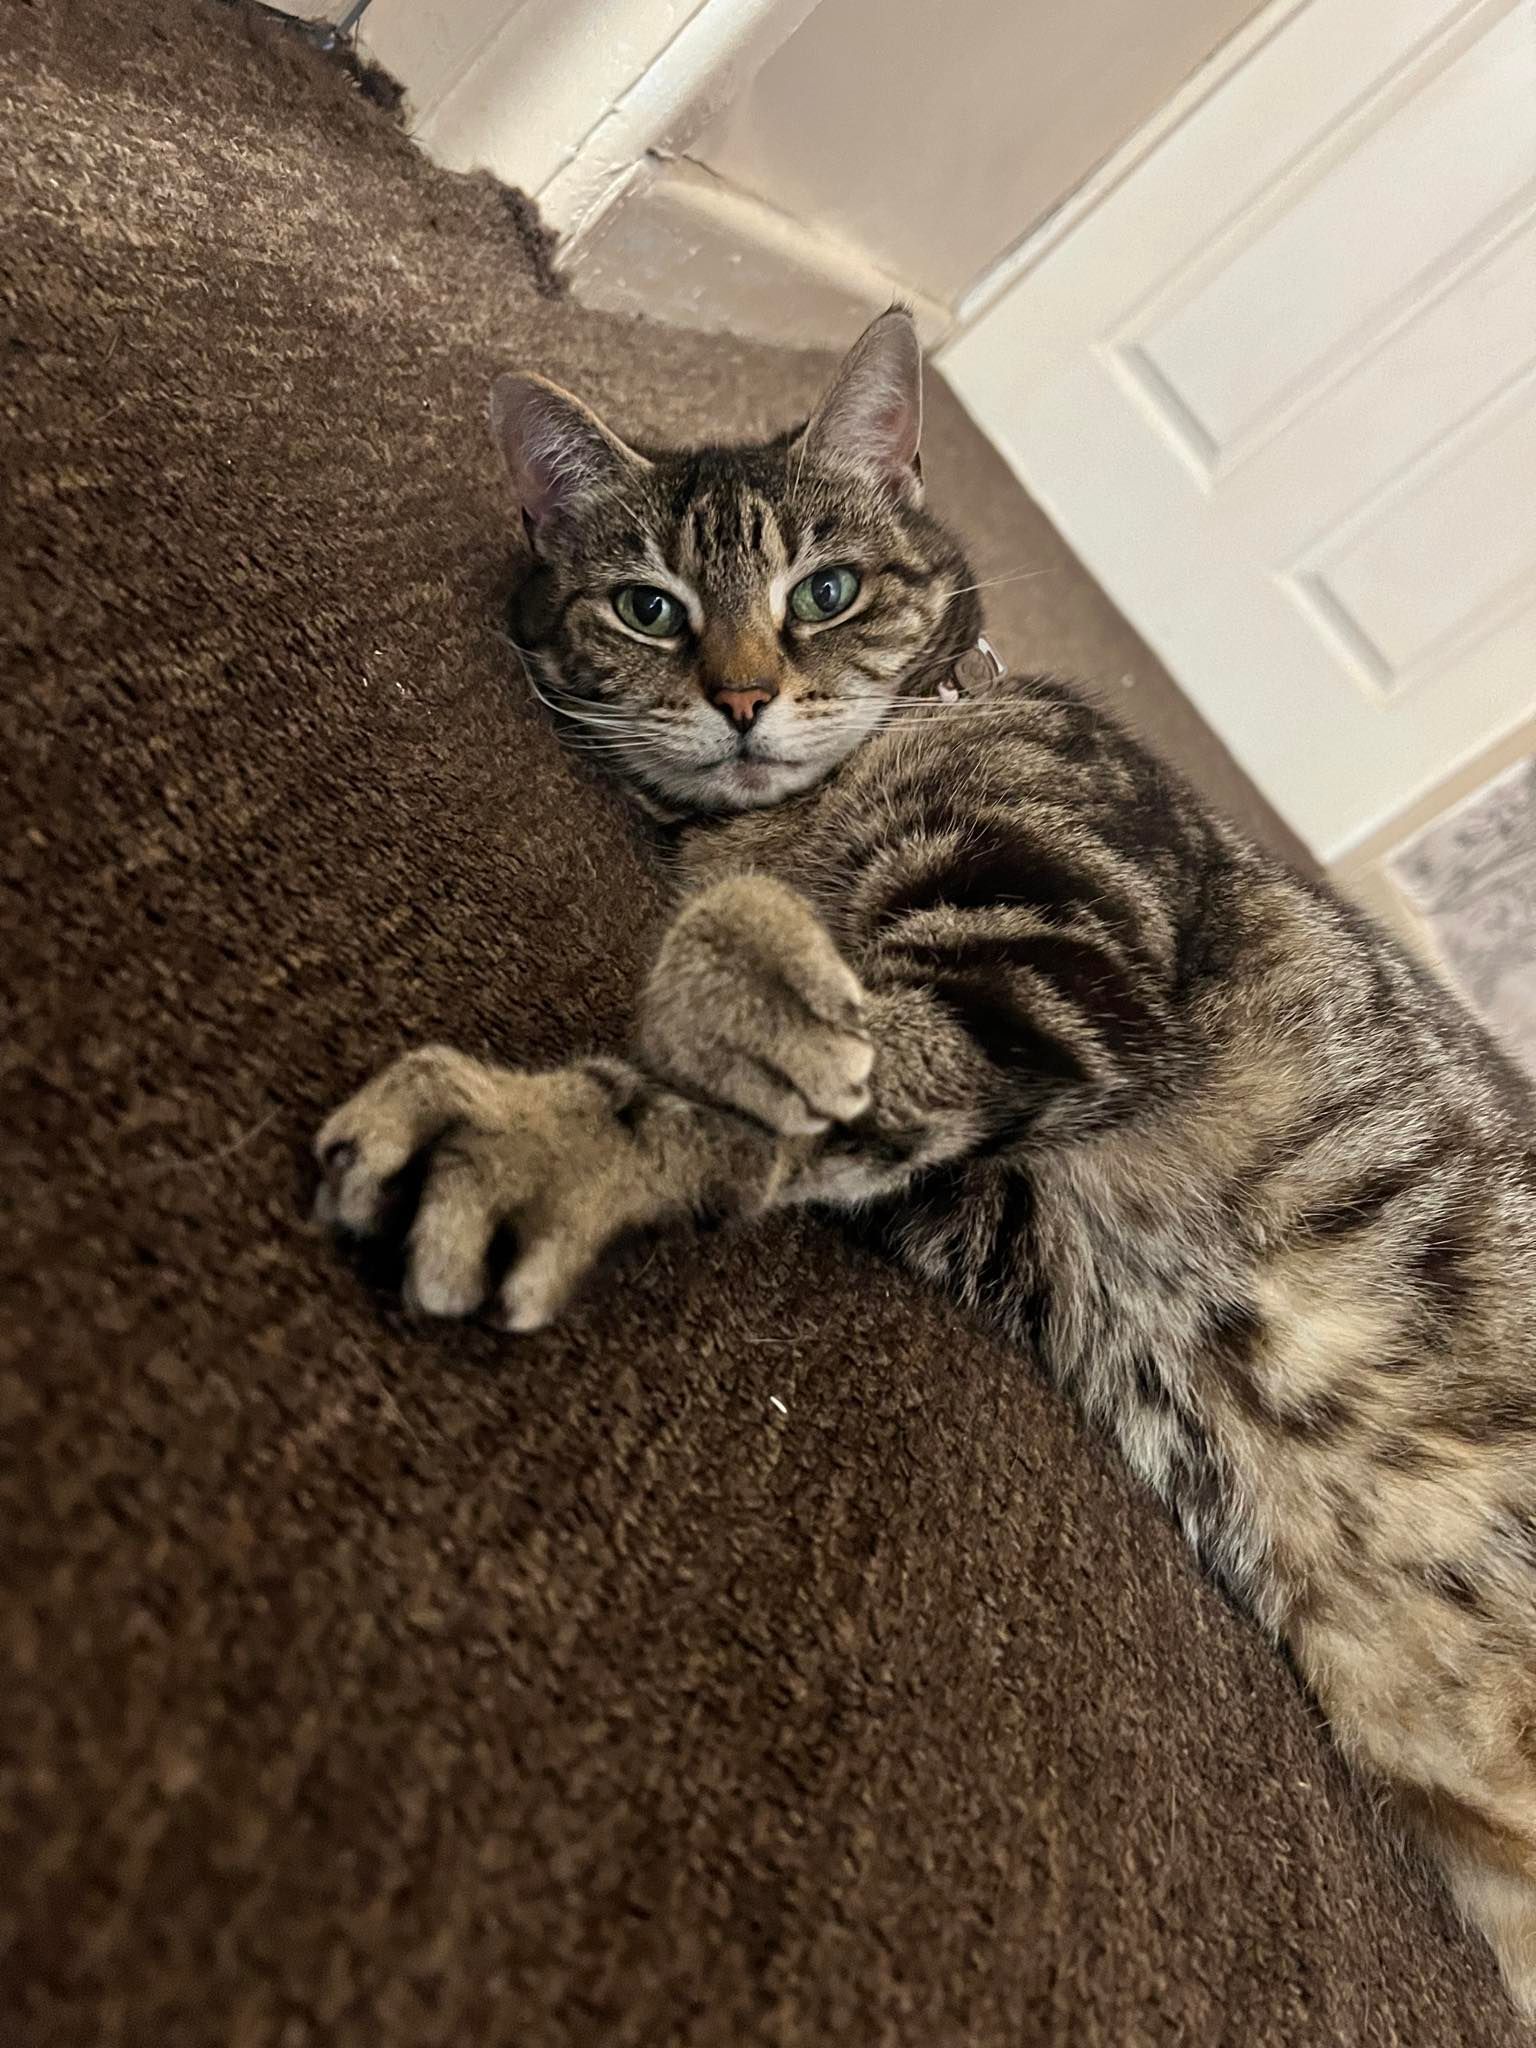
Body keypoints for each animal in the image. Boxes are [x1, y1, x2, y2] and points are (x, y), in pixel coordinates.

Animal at [314, 307, 1536, 2015]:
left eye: (824, 591)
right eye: (648, 607)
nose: (745, 698)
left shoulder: (1055, 946)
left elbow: (740, 1035)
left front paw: (550, 1116)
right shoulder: (989, 1189)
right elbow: (784, 1087)